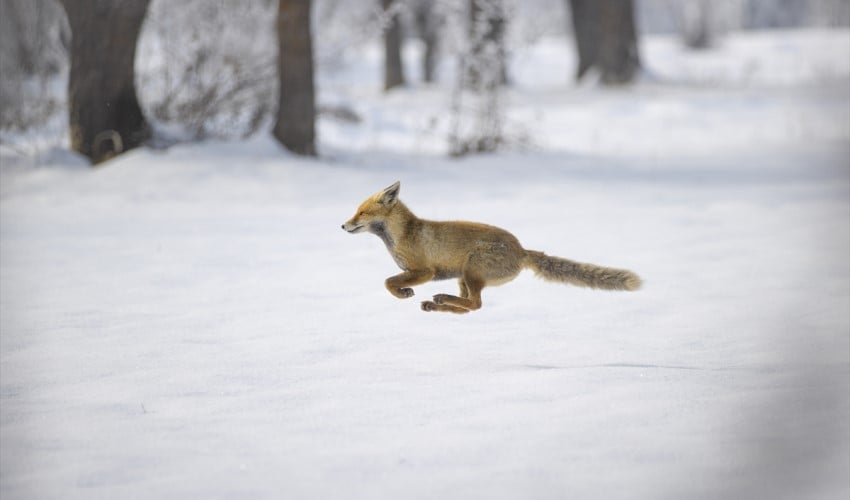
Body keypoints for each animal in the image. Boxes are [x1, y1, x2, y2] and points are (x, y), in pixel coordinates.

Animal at [342, 180, 640, 312]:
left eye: (361, 213)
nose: (343, 226)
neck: (402, 236)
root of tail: (522, 250)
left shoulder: (424, 271)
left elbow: (388, 282)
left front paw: (403, 293)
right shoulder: (418, 272)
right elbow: (389, 281)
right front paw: (405, 293)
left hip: (471, 270)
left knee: (475, 304)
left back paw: (440, 300)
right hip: (463, 276)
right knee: (470, 306)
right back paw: (438, 304)